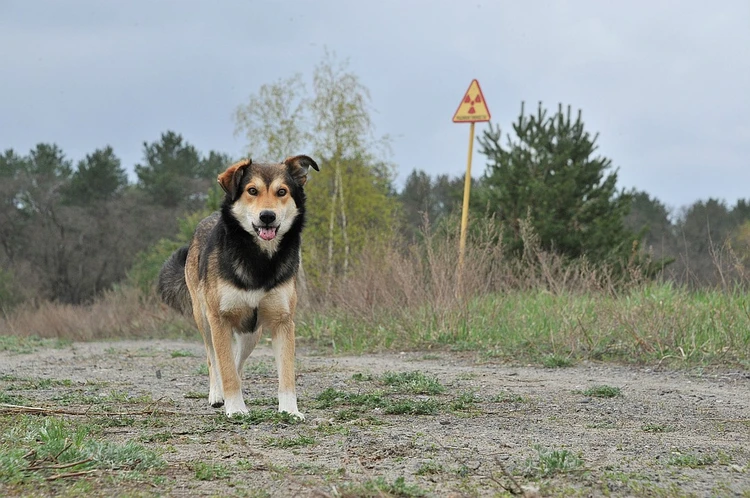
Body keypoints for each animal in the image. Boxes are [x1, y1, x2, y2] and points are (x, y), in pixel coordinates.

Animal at [160, 155, 318, 416]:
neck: (260, 258)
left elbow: (286, 373)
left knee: (236, 361)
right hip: (204, 318)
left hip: (252, 332)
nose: (267, 216)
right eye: (252, 190)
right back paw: (217, 394)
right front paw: (235, 408)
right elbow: (223, 366)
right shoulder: (219, 318)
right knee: (213, 359)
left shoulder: (283, 321)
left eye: (282, 191)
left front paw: (289, 410)